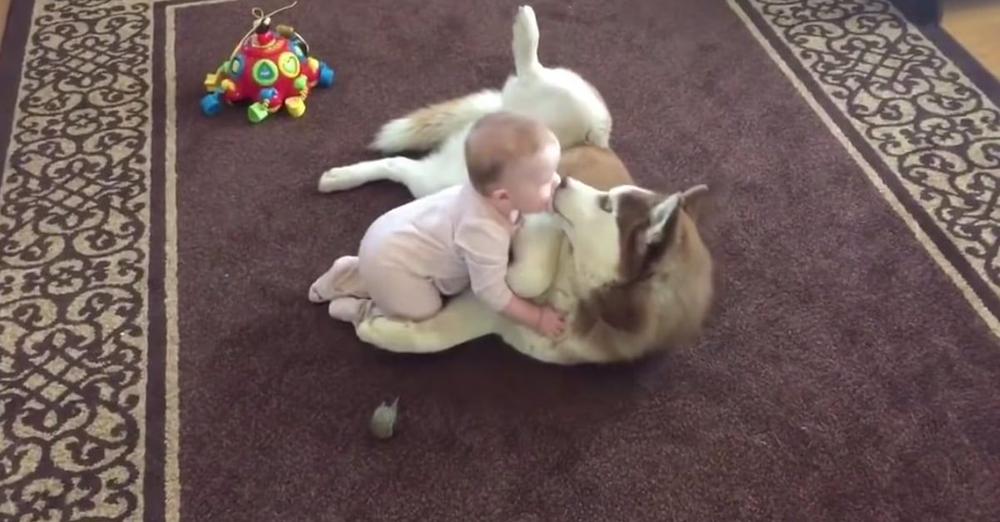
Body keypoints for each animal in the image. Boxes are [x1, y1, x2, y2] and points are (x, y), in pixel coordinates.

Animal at [316, 5, 716, 362]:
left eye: (607, 205)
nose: (562, 179)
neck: (584, 294)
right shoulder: (544, 221)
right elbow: (531, 272)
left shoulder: (498, 316)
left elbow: (429, 337)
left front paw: (373, 325)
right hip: (583, 114)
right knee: (532, 74)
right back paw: (526, 33)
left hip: (455, 172)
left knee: (402, 165)